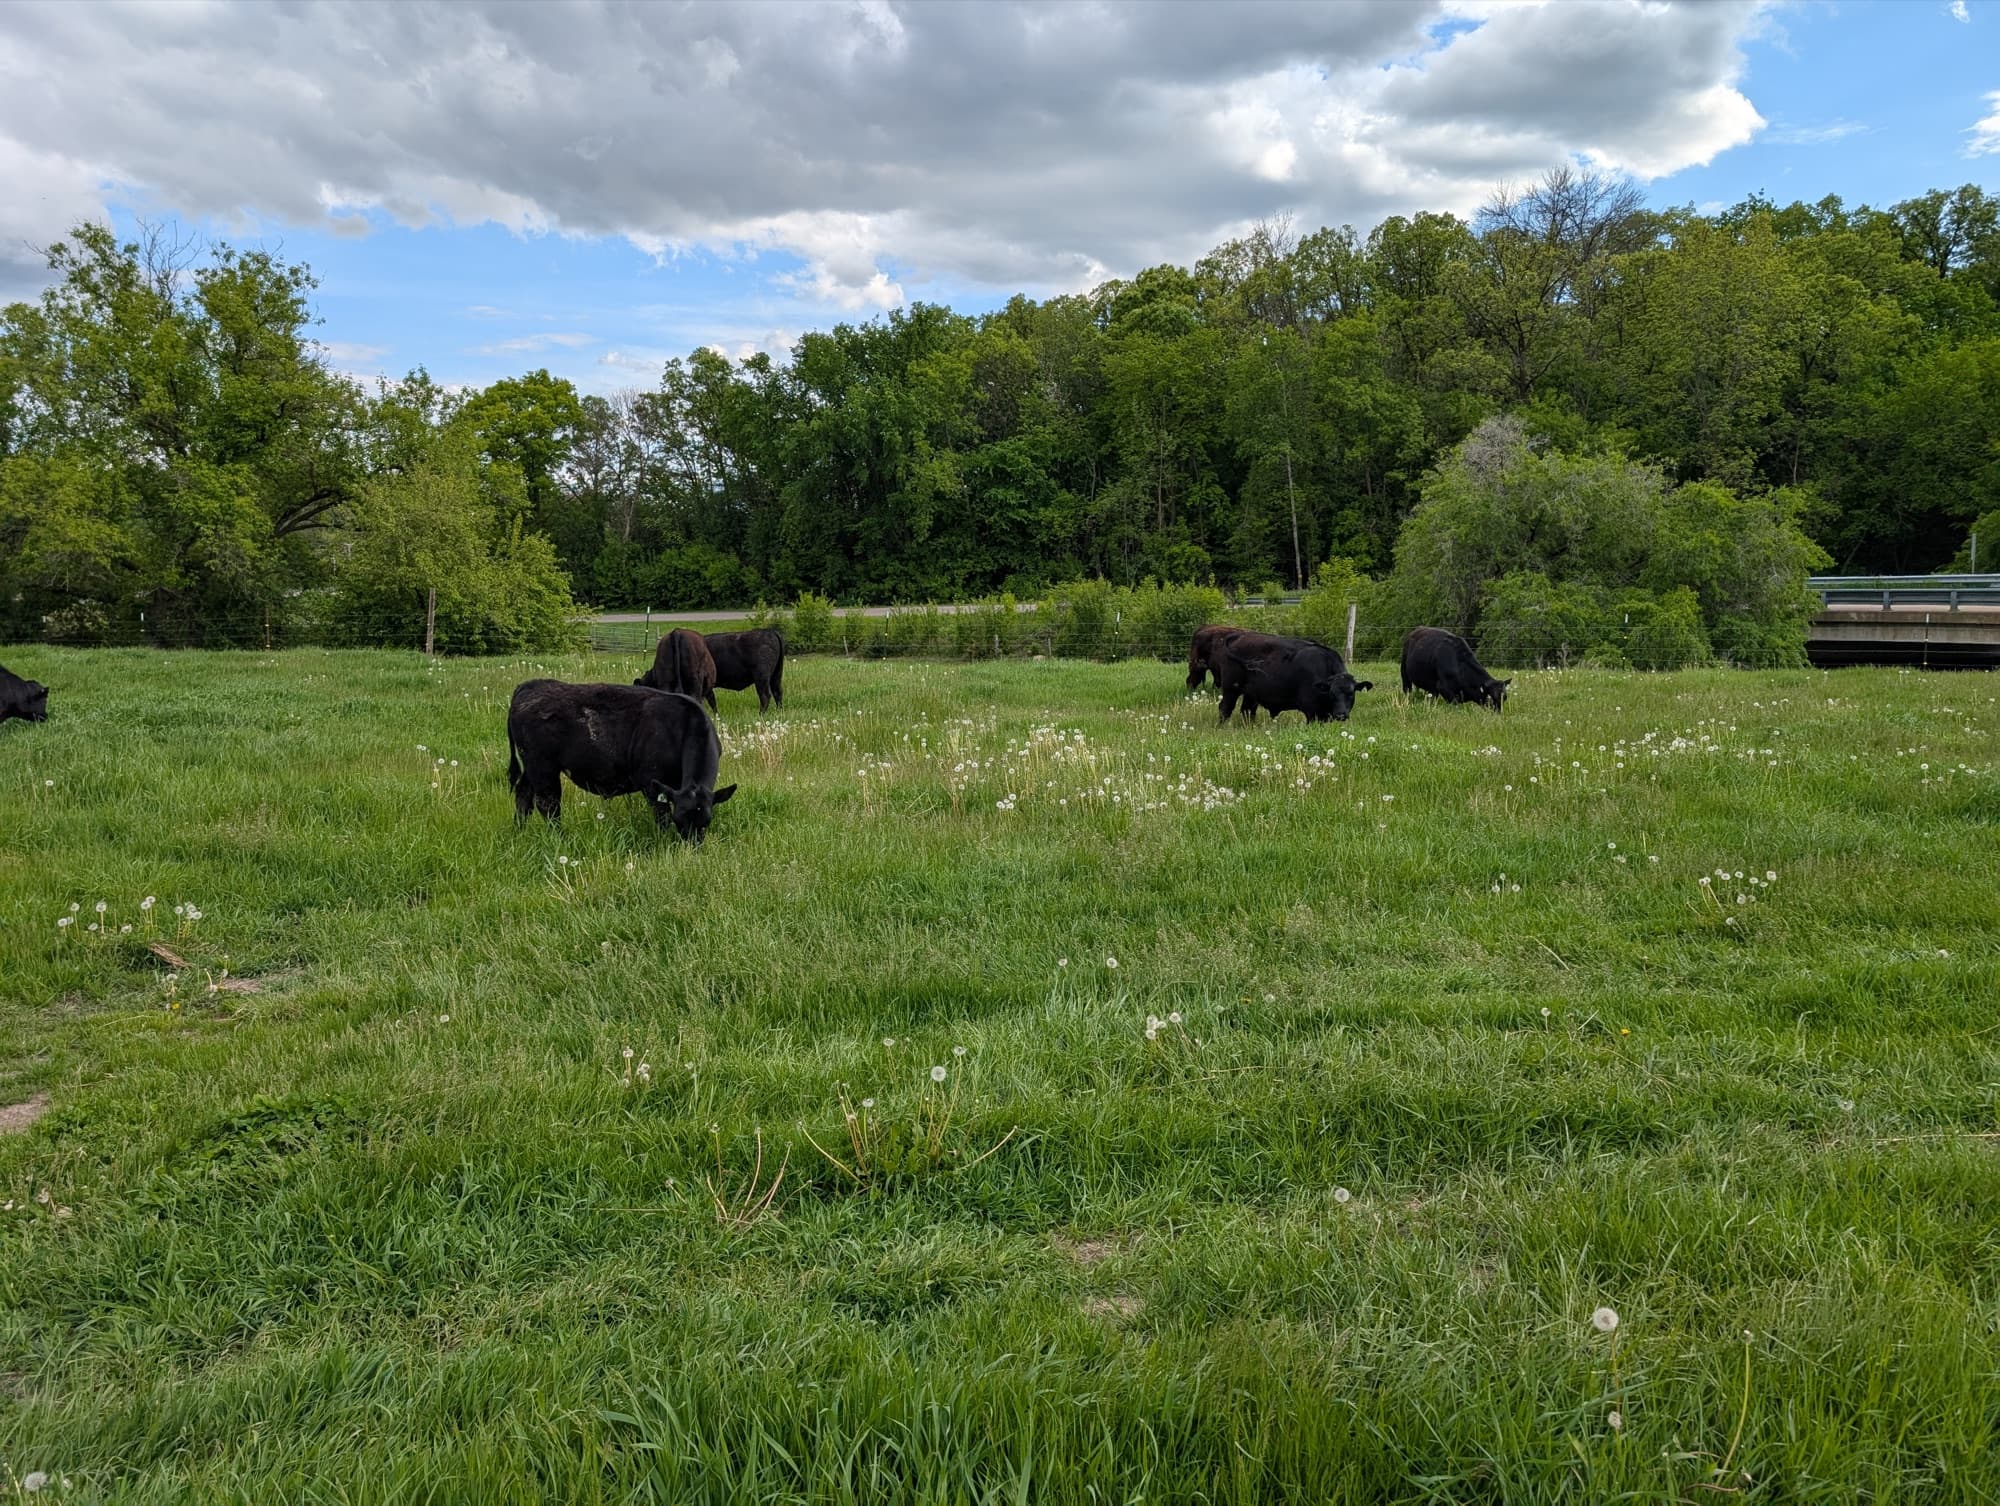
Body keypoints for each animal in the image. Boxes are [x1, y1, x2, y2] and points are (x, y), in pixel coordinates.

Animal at [506, 679, 736, 842]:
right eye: (678, 821)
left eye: (706, 822)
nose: (691, 847)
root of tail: (530, 685)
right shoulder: (652, 784)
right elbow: (661, 817)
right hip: (542, 766)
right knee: (548, 804)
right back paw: (559, 838)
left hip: (531, 767)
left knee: (523, 795)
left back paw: (518, 832)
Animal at [1215, 631, 1373, 725]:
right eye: (1332, 694)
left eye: (1351, 693)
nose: (1341, 715)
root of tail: (1239, 635)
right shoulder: (1311, 711)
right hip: (1231, 688)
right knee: (1225, 708)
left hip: (1251, 694)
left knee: (1247, 711)